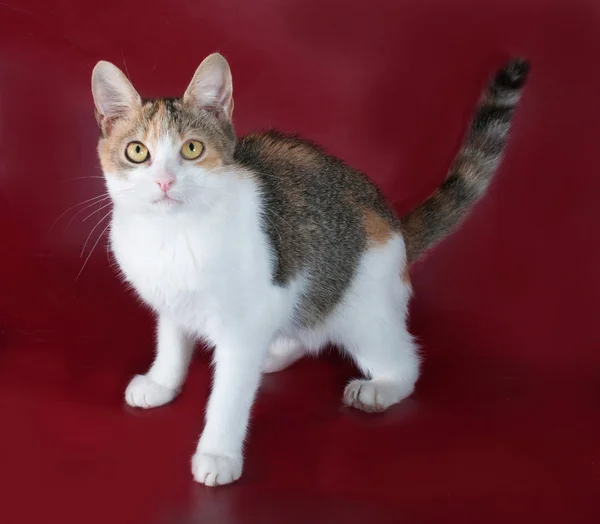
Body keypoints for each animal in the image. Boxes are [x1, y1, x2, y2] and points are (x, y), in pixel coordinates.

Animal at [90, 51, 528, 486]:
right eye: (137, 152)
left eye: (192, 149)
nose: (164, 181)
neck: (172, 234)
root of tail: (395, 227)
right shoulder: (172, 303)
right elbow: (172, 342)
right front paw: (162, 382)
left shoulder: (245, 320)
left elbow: (228, 394)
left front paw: (218, 453)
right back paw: (274, 352)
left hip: (360, 307)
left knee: (403, 361)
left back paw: (380, 388)